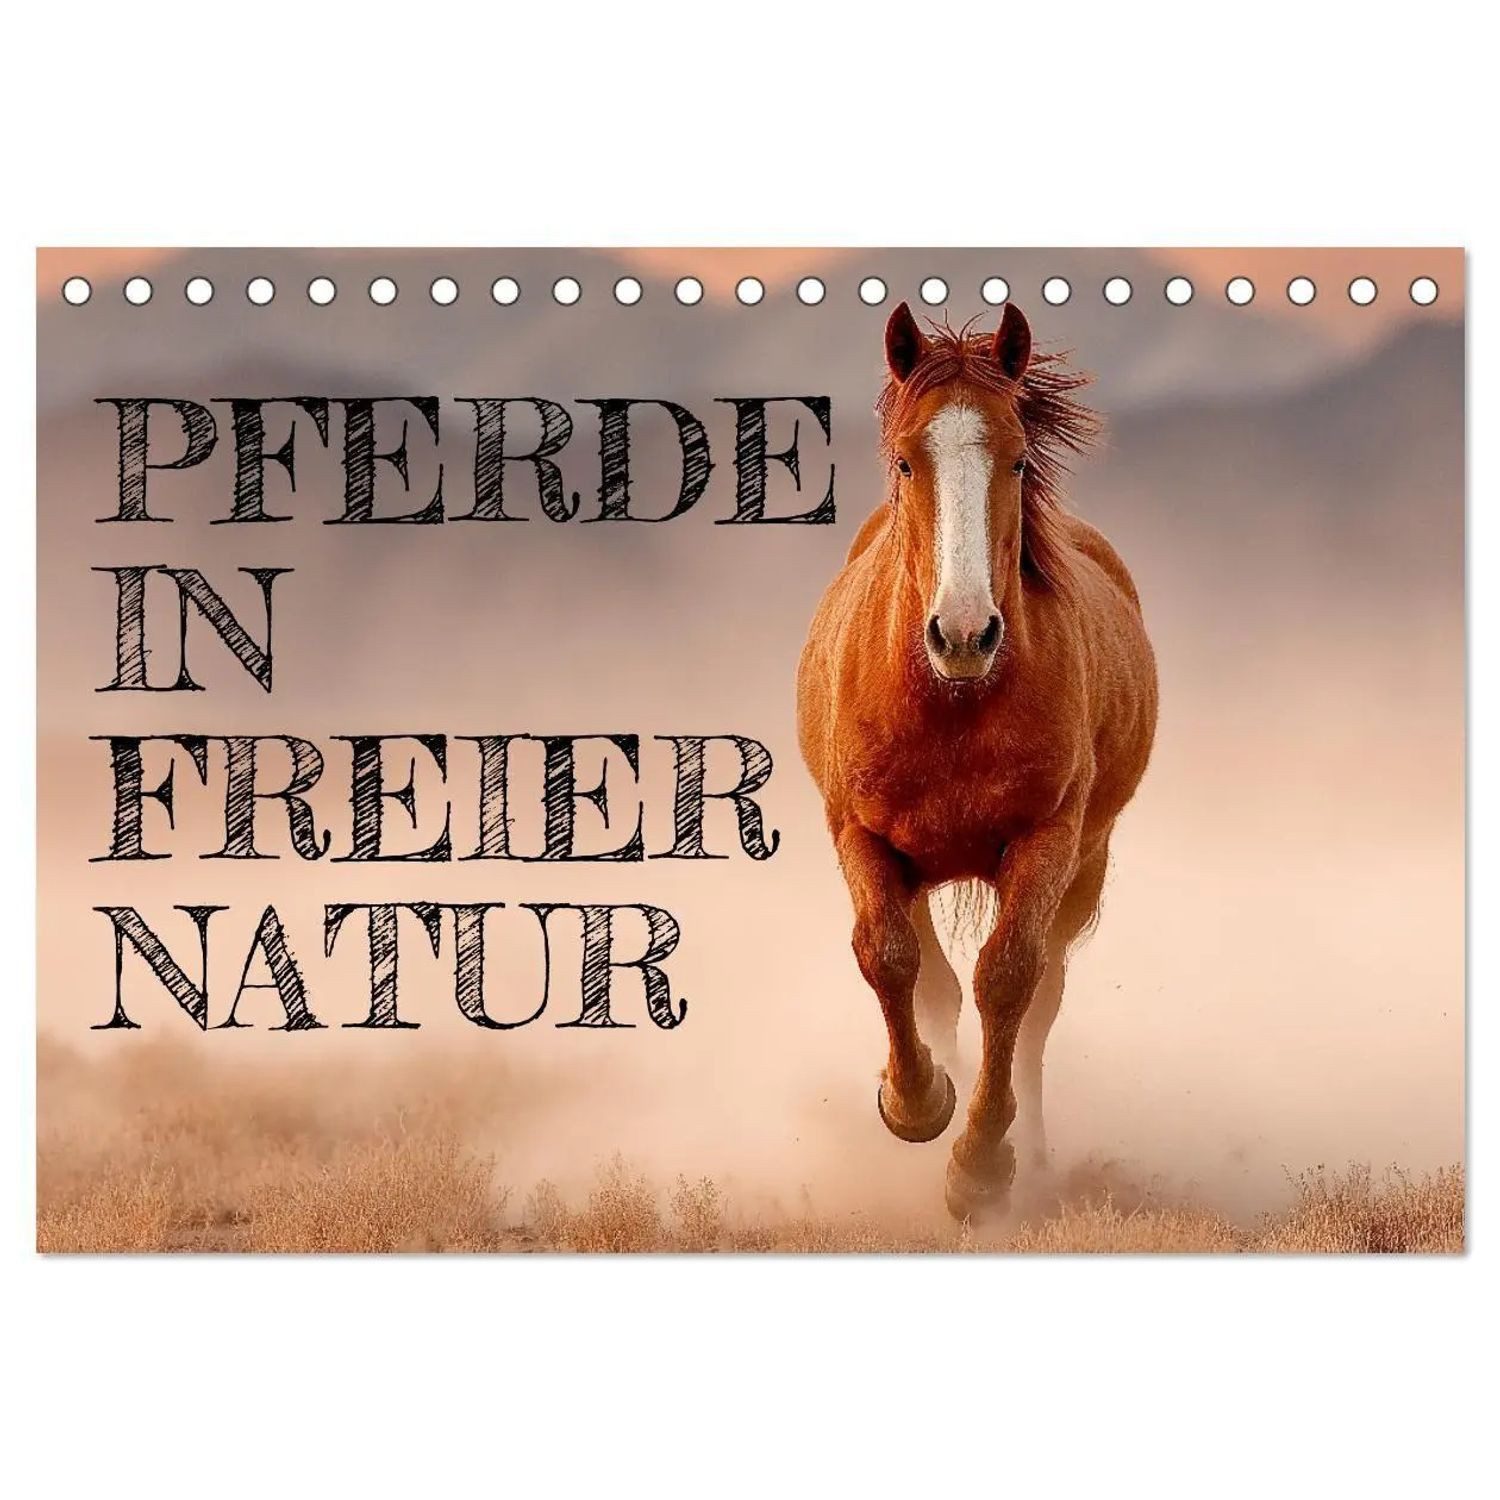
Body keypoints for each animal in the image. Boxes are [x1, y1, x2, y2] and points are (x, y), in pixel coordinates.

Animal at [796, 301, 1158, 1220]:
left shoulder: (1048, 841)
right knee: (932, 983)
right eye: (905, 459)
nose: (963, 634)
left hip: (1086, 864)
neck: (952, 703)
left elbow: (1008, 982)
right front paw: (915, 1102)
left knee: (1038, 1001)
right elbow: (892, 961)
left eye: (1018, 456)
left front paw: (982, 1166)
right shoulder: (861, 835)